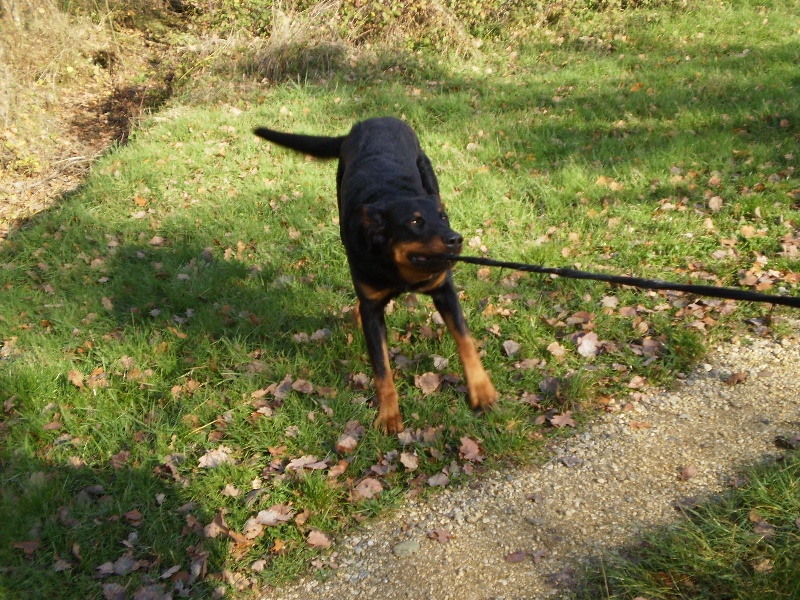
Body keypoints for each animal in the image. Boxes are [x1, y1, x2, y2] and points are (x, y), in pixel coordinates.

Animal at [253, 117, 496, 434]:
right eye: (415, 222)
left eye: (443, 217)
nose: (455, 239)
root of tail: (373, 120)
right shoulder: (372, 308)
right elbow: (381, 370)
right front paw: (389, 416)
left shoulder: (444, 290)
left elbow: (465, 340)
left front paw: (481, 390)